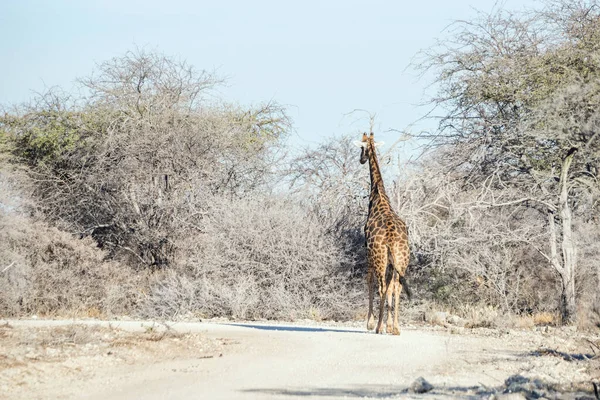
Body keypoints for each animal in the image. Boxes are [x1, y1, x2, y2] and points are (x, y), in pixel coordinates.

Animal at [354, 131, 410, 334]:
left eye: (361, 147)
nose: (361, 159)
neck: (378, 195)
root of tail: (392, 238)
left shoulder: (367, 251)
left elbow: (369, 281)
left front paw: (370, 323)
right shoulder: (392, 261)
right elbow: (392, 288)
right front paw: (389, 324)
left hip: (379, 257)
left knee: (381, 286)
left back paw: (379, 327)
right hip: (401, 258)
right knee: (396, 285)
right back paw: (396, 328)